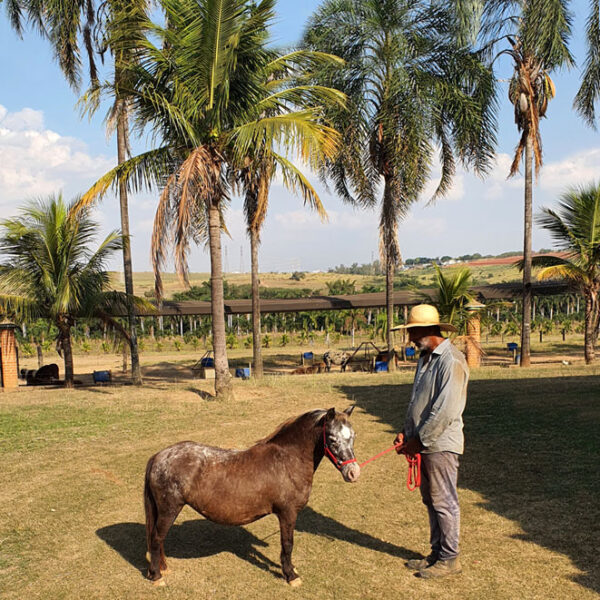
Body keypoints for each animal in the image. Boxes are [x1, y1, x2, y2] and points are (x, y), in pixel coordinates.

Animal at [144, 404, 360, 584]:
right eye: (332, 439)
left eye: (353, 436)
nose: (353, 473)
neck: (287, 461)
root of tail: (159, 456)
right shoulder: (287, 514)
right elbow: (287, 544)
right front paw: (291, 575)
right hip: (169, 509)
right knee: (156, 538)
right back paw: (156, 576)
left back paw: (163, 568)